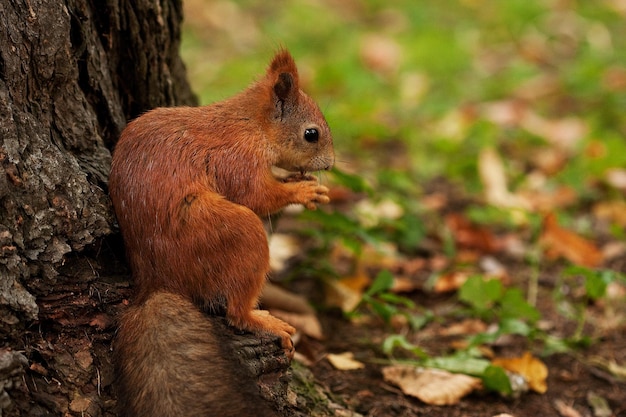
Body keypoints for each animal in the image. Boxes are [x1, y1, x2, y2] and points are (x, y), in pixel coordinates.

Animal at [108, 50, 332, 414]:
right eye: (311, 134)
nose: (330, 164)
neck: (251, 124)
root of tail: (156, 281)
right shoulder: (237, 158)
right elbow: (256, 195)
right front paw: (301, 192)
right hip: (233, 232)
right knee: (235, 313)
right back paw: (263, 321)